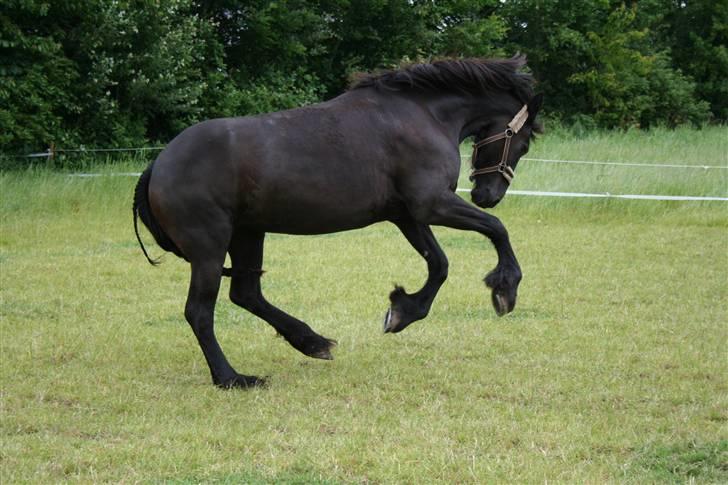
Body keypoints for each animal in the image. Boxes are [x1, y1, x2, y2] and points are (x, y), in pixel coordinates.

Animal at [132, 56, 540, 388]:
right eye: (522, 144)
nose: (488, 195)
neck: (422, 114)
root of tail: (158, 165)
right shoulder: (432, 205)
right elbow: (496, 229)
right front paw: (505, 290)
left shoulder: (408, 215)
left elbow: (439, 264)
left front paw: (401, 312)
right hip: (211, 248)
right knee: (200, 312)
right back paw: (232, 378)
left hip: (248, 233)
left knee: (246, 294)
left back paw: (312, 342)